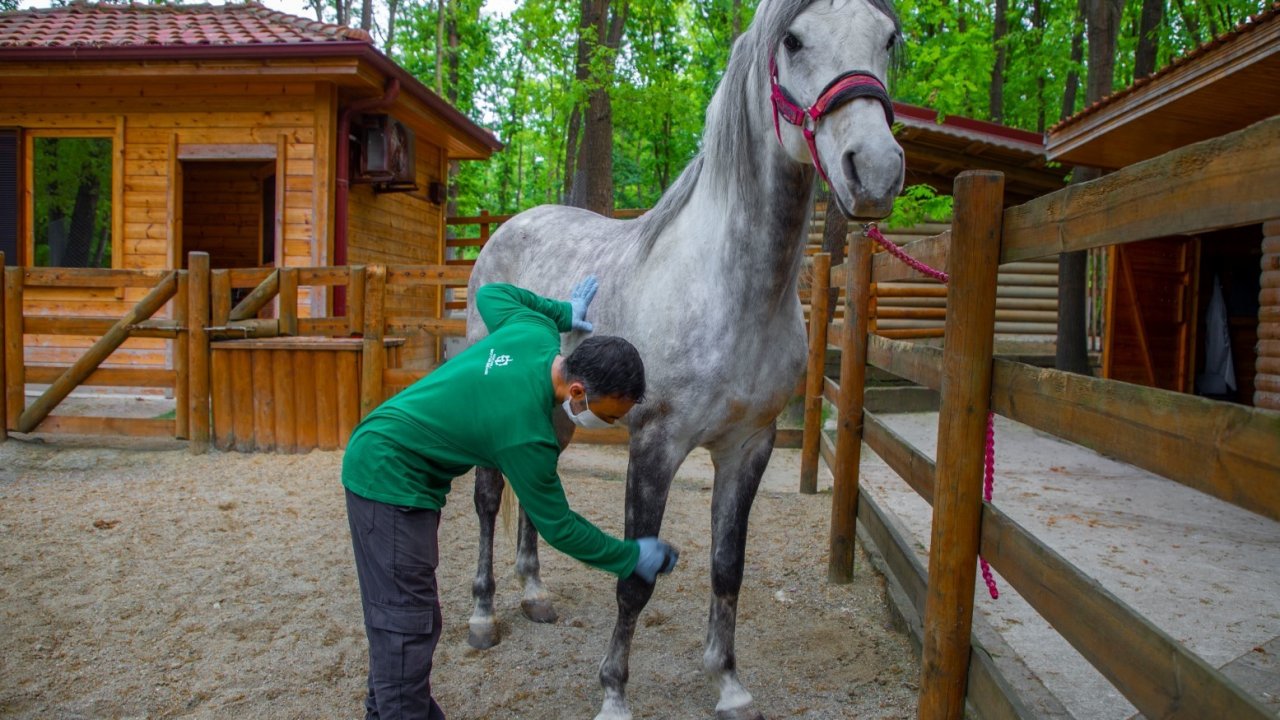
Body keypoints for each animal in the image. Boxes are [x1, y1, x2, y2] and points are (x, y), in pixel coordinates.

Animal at [463, 2, 901, 712]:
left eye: (888, 39)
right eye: (793, 40)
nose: (878, 169)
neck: (729, 290)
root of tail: (505, 230)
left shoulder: (748, 446)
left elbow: (728, 567)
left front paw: (728, 683)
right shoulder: (656, 444)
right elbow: (635, 579)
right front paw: (614, 694)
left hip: (554, 415)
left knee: (532, 489)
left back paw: (534, 595)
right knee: (487, 498)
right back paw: (482, 615)